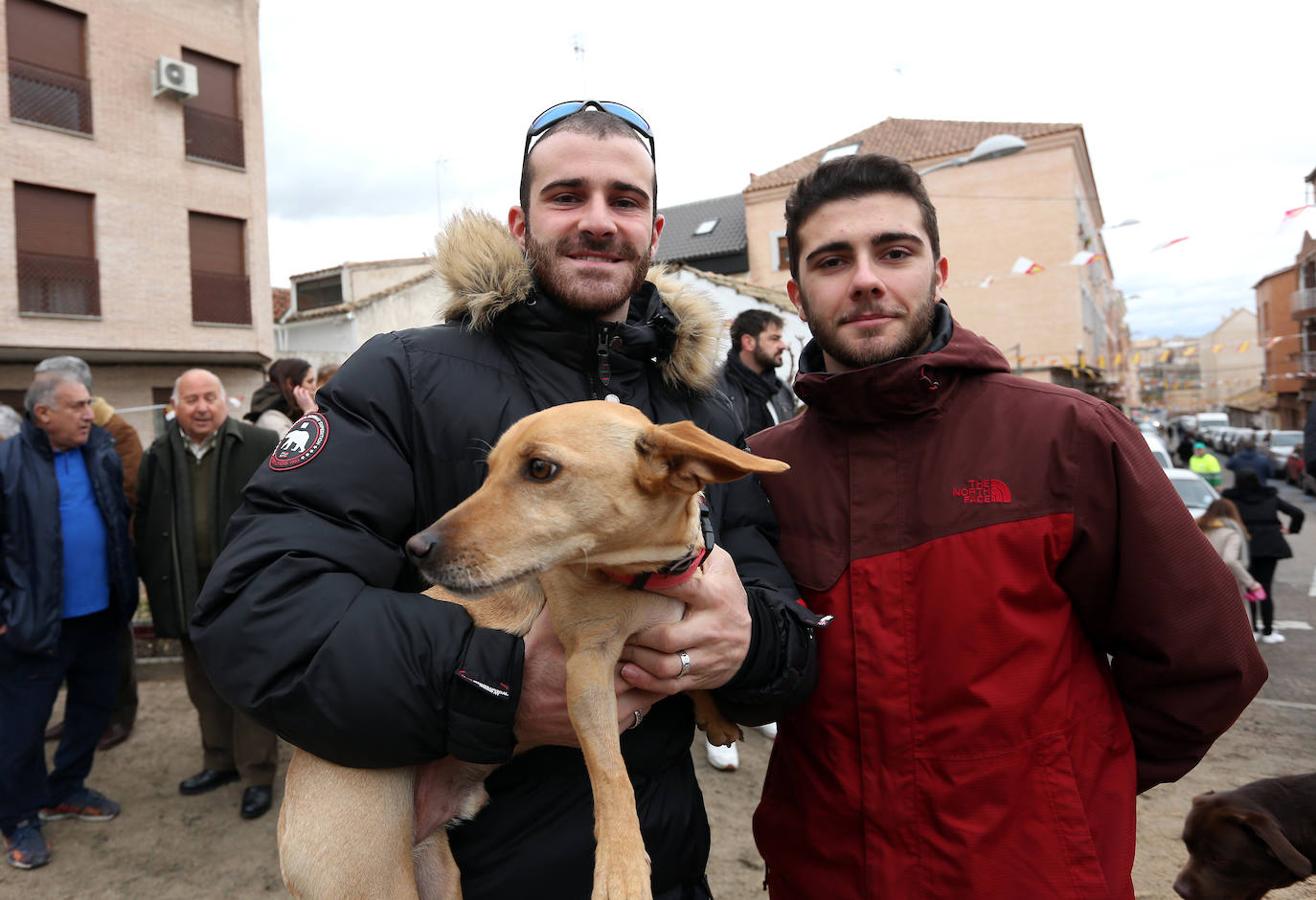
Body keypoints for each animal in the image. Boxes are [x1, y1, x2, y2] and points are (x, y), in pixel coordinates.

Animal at [276, 402, 784, 900]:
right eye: (489, 471)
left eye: (539, 468)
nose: (416, 547)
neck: (643, 577)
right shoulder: (587, 673)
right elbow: (612, 772)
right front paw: (620, 866)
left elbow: (693, 680)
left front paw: (714, 714)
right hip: (376, 881)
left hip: (439, 875)